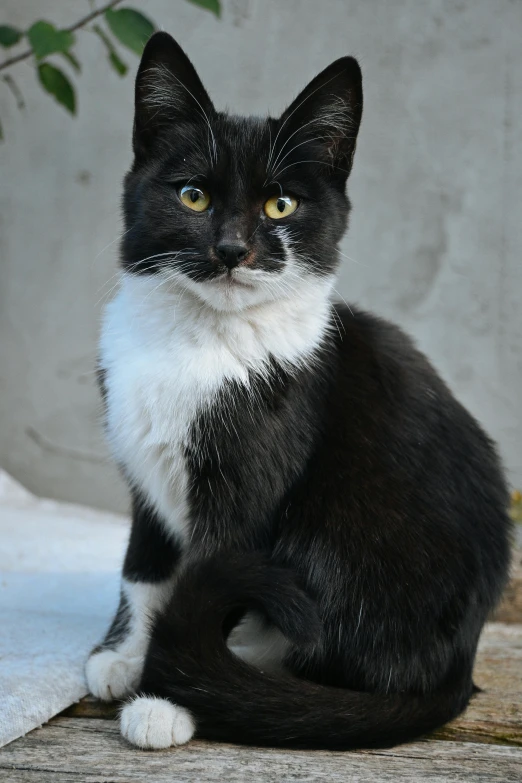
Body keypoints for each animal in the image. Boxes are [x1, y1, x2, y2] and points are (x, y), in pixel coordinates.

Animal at [85, 32, 508, 752]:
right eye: (193, 195)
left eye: (281, 205)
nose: (232, 249)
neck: (201, 340)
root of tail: (460, 665)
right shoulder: (144, 467)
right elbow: (145, 568)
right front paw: (125, 653)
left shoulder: (253, 476)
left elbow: (204, 575)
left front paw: (167, 693)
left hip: (348, 535)